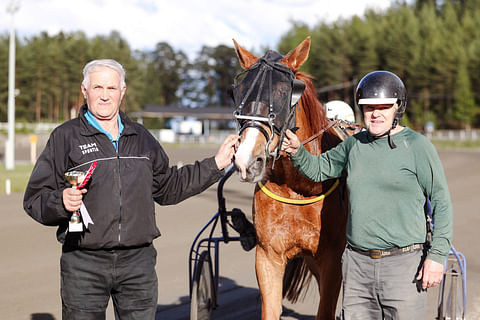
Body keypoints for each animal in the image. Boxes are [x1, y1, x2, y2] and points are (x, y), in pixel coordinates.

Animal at [233, 36, 348, 318]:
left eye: (285, 93)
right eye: (239, 92)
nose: (246, 160)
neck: (297, 185)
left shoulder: (332, 260)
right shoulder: (268, 256)